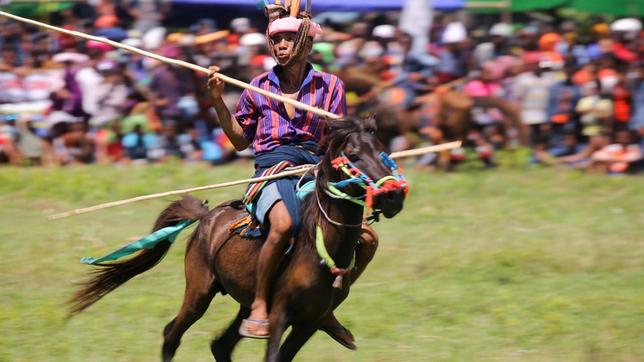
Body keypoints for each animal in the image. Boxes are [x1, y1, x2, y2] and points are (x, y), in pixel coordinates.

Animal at [69, 116, 402, 362]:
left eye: (382, 151)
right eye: (354, 156)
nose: (394, 196)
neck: (318, 246)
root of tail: (208, 218)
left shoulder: (308, 321)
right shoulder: (280, 314)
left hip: (246, 301)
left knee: (220, 346)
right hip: (200, 292)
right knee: (171, 334)